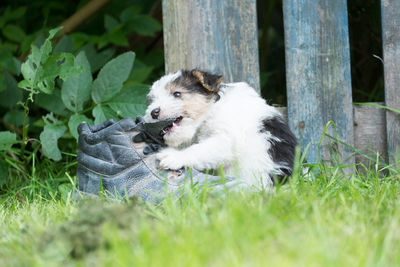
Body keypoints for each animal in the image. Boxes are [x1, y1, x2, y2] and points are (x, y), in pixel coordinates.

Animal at [144, 70, 296, 189]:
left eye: (177, 93)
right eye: (153, 100)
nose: (153, 112)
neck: (213, 108)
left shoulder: (228, 139)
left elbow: (200, 149)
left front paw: (175, 156)